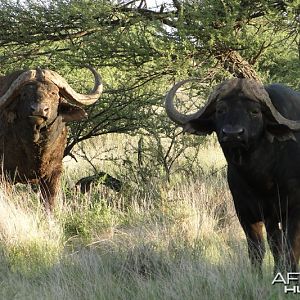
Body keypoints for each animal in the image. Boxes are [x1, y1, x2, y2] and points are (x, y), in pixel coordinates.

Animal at [0, 66, 102, 211]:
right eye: (25, 94)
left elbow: (50, 204)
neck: (36, 147)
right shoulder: (5, 174)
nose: (39, 110)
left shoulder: (54, 174)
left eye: (54, 93)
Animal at [165, 78, 300, 274]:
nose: (233, 134)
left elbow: (291, 252)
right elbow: (259, 250)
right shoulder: (247, 213)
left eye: (254, 111)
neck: (261, 178)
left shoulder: (294, 211)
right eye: (220, 110)